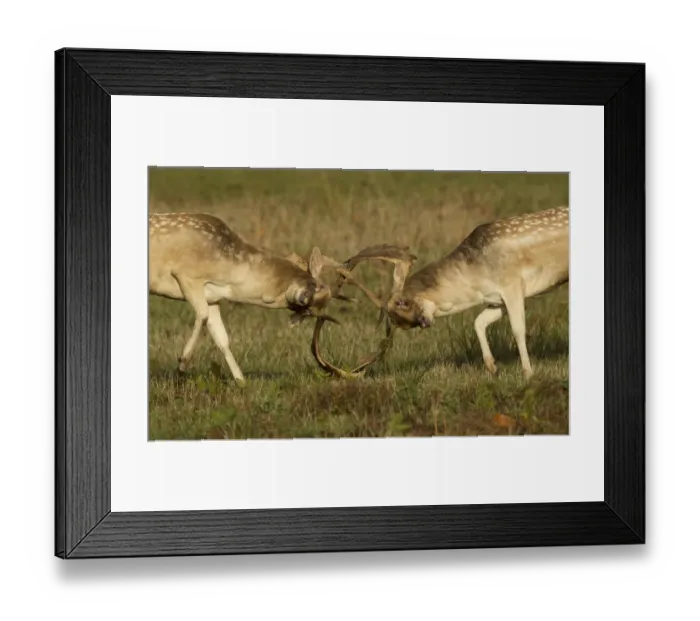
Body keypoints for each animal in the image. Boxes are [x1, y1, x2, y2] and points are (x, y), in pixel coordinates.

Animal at [148, 212, 347, 385]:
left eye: (312, 308)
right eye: (315, 287)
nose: (303, 297)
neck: (231, 276)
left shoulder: (212, 296)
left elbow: (222, 338)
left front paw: (241, 382)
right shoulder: (186, 275)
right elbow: (203, 315)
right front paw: (181, 364)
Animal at [332, 207, 570, 379]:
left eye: (402, 303)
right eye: (398, 323)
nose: (424, 322)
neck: (475, 279)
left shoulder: (512, 285)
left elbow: (518, 329)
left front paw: (528, 373)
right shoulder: (497, 299)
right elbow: (478, 322)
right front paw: (492, 367)